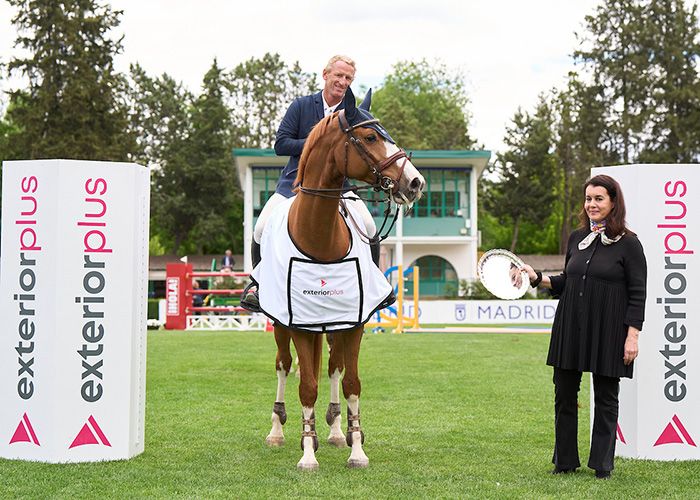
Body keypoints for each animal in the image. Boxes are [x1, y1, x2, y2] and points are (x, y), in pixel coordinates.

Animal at [260, 89, 424, 468]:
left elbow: (351, 382)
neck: (320, 236)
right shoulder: (299, 324)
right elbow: (306, 385)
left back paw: (336, 431)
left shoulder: (355, 322)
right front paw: (308, 453)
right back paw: (277, 430)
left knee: (333, 368)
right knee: (283, 365)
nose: (415, 182)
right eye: (370, 137)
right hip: (280, 324)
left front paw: (356, 447)